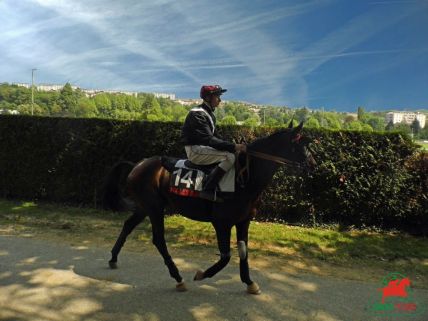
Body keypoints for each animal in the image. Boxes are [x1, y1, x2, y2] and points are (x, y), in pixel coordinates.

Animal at [103, 121, 318, 294]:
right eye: (301, 144)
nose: (313, 164)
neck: (244, 178)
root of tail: (138, 164)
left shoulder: (244, 221)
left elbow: (243, 252)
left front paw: (249, 283)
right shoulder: (222, 223)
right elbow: (225, 257)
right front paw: (201, 274)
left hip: (144, 207)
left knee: (128, 225)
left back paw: (113, 258)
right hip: (154, 209)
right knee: (158, 240)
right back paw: (178, 278)